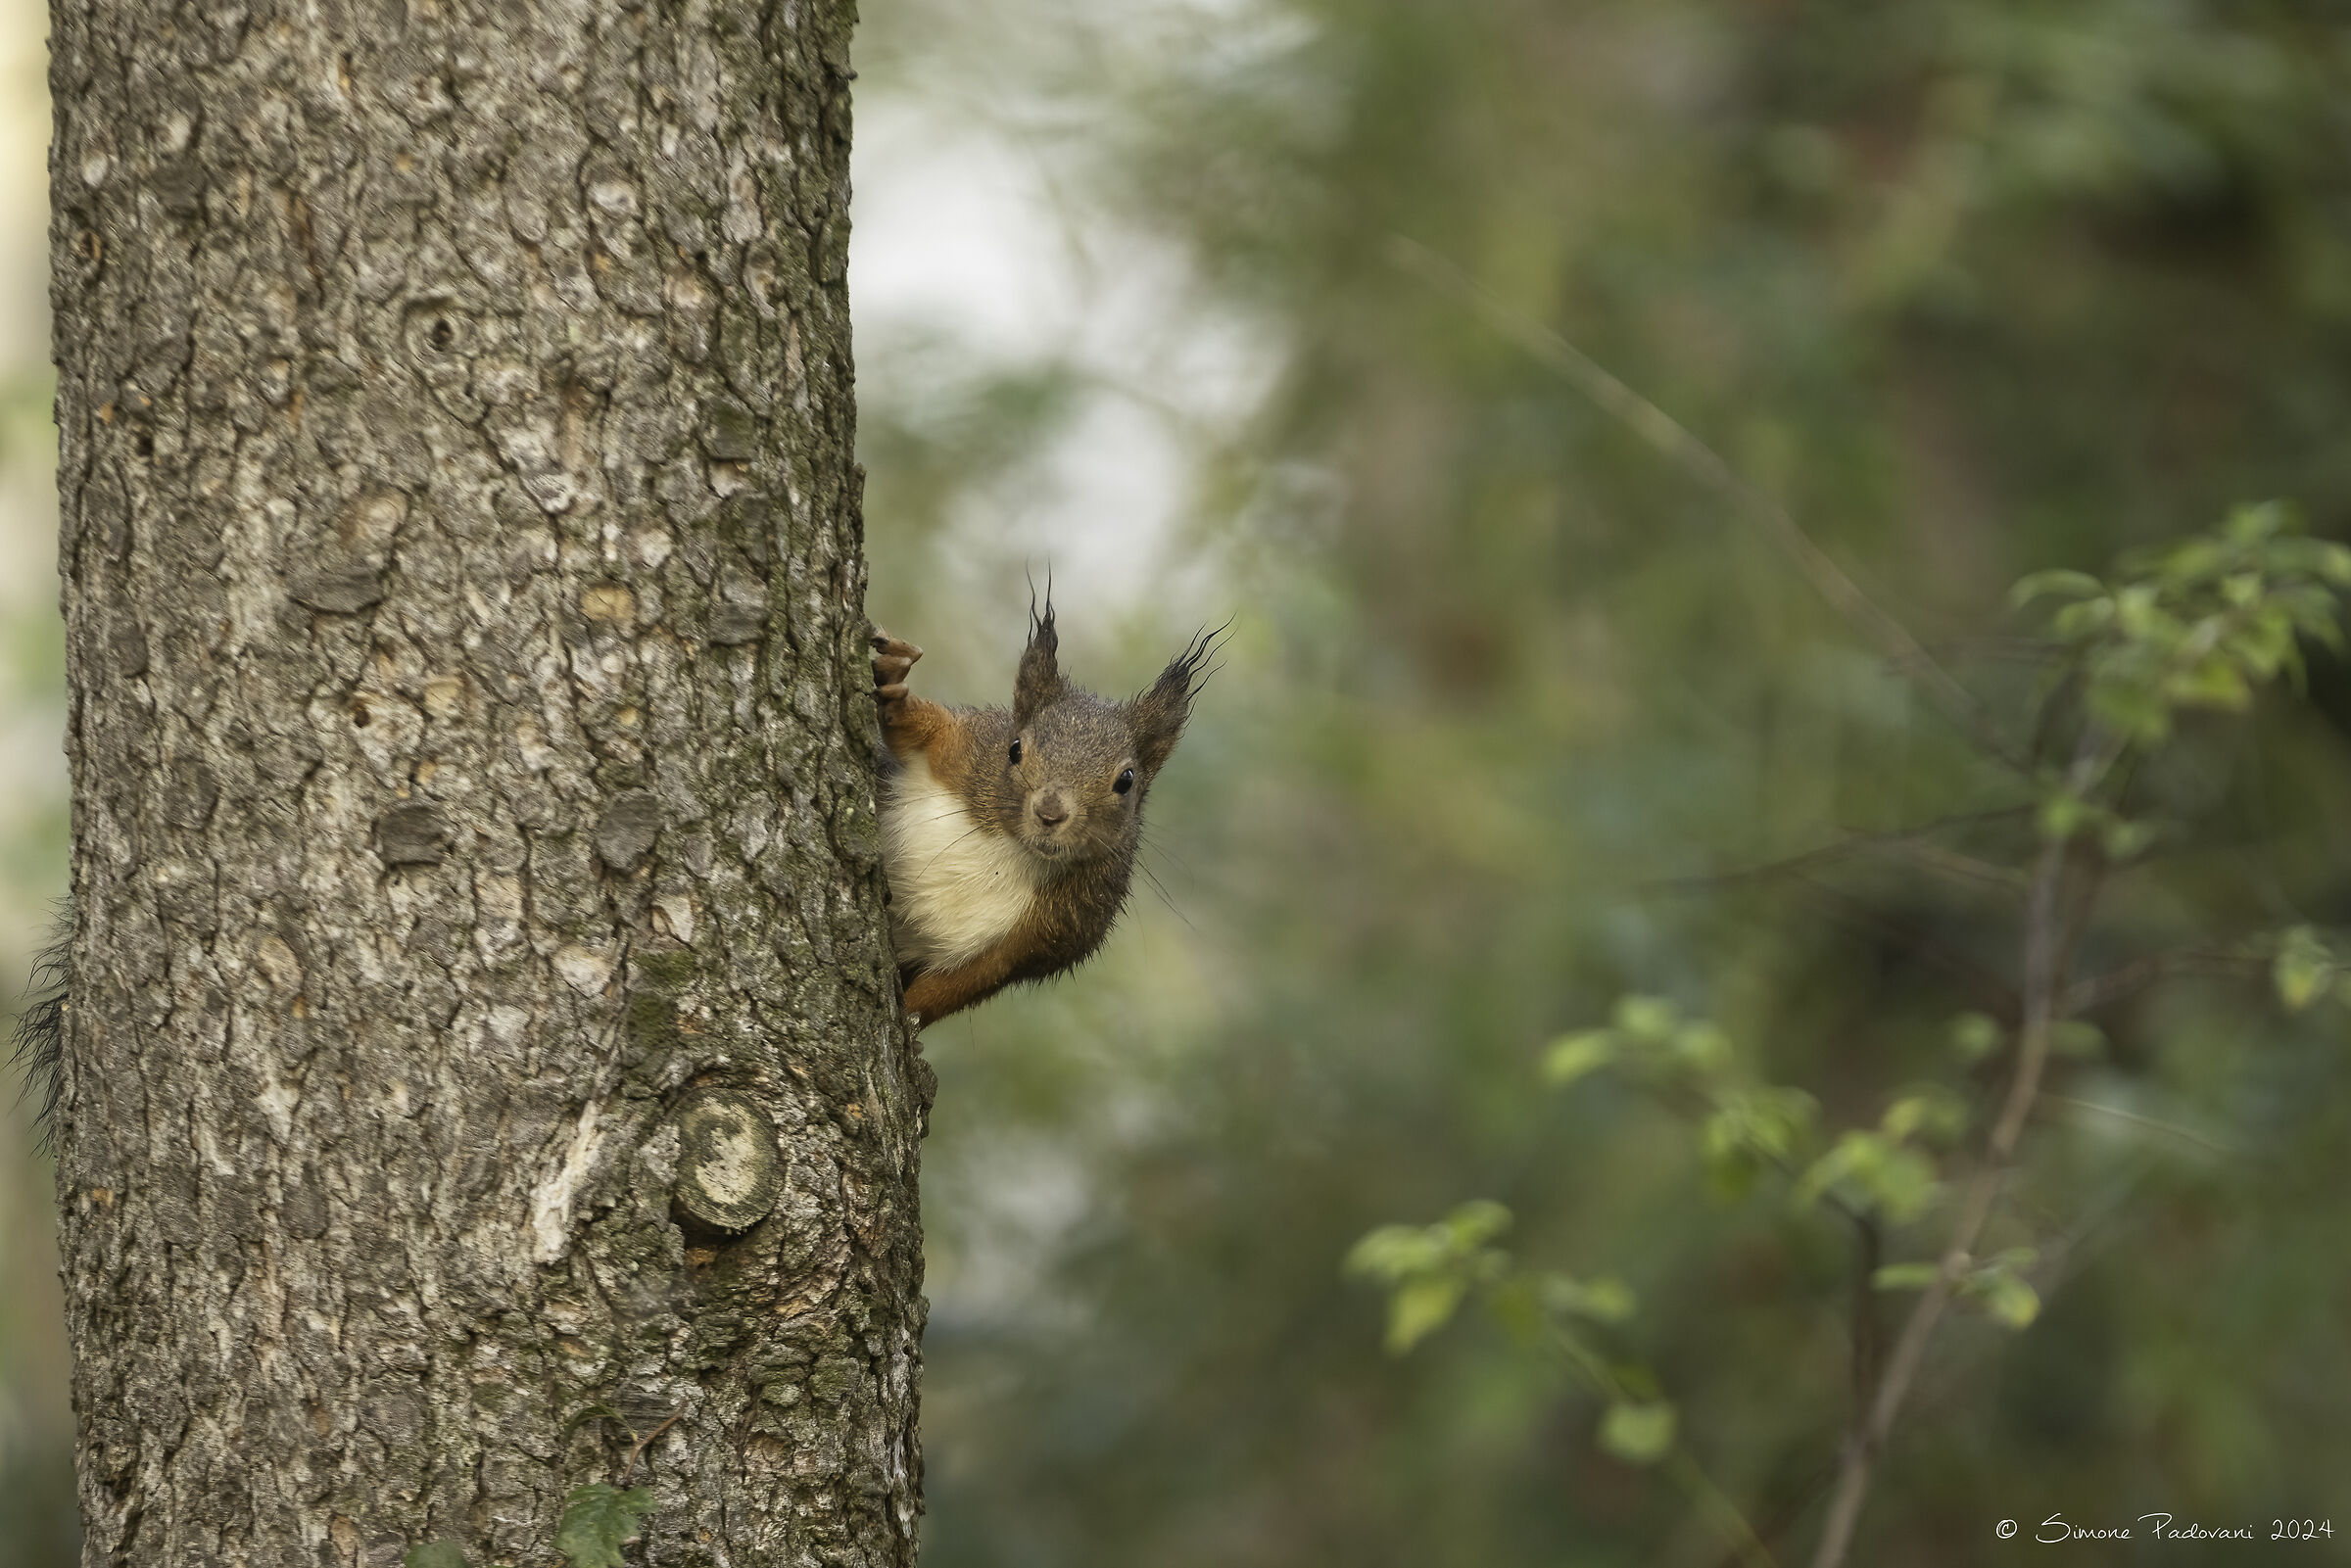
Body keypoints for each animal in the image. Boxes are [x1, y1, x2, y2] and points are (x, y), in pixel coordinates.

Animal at [871, 598, 1217, 1027]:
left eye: (1127, 780)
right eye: (1014, 748)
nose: (1050, 813)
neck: (1013, 846)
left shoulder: (1052, 934)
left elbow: (958, 986)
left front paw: (909, 1019)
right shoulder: (964, 747)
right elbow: (921, 731)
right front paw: (896, 687)